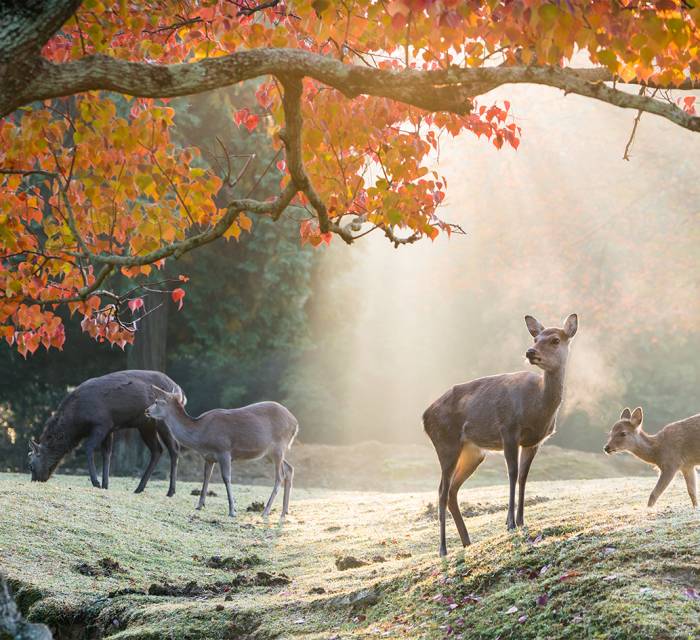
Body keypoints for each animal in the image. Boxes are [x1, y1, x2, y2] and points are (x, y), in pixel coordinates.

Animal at [145, 388, 298, 516]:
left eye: (158, 402)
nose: (146, 410)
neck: (201, 437)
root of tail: (295, 423)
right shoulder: (208, 457)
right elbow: (206, 477)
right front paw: (199, 505)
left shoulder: (224, 450)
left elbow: (226, 478)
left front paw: (232, 510)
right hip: (270, 453)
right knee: (289, 468)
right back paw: (284, 511)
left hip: (279, 447)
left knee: (280, 476)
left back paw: (266, 511)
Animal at [424, 314, 576, 556]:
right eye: (535, 338)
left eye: (555, 340)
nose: (530, 352)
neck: (537, 408)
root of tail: (424, 416)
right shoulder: (508, 430)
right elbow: (512, 474)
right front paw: (510, 523)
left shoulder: (533, 442)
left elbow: (523, 476)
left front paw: (521, 520)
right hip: (445, 443)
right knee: (441, 491)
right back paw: (443, 549)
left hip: (473, 452)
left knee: (452, 490)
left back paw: (467, 541)